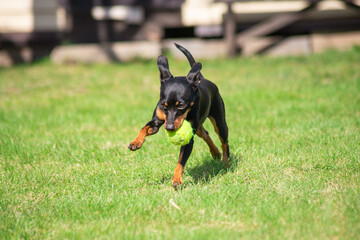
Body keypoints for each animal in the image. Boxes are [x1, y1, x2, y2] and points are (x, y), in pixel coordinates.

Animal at [129, 44, 229, 188]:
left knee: (224, 141)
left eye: (181, 106)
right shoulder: (157, 121)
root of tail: (202, 79)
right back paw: (215, 153)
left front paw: (177, 180)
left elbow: (181, 161)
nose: (169, 128)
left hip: (219, 120)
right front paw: (136, 142)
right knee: (205, 133)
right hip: (199, 127)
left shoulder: (188, 139)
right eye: (164, 105)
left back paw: (226, 163)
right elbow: (144, 128)